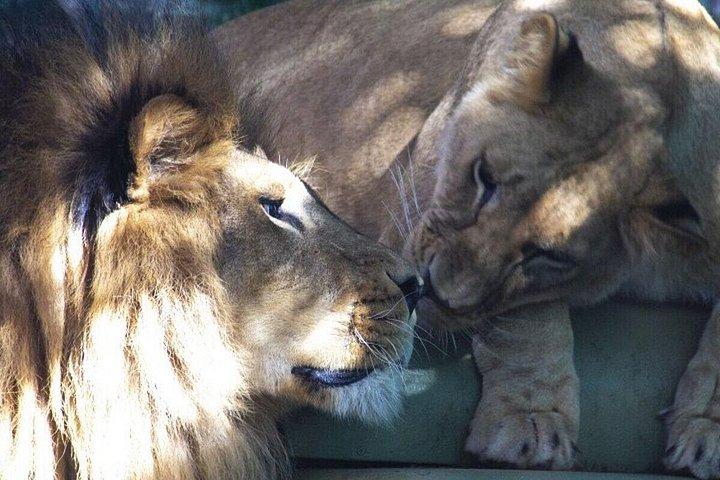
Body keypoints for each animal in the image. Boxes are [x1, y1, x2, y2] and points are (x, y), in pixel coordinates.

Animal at [219, 0, 720, 477]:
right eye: (483, 176)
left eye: (547, 257)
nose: (430, 289)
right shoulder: (406, 202)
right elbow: (526, 316)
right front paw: (528, 421)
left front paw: (705, 434)